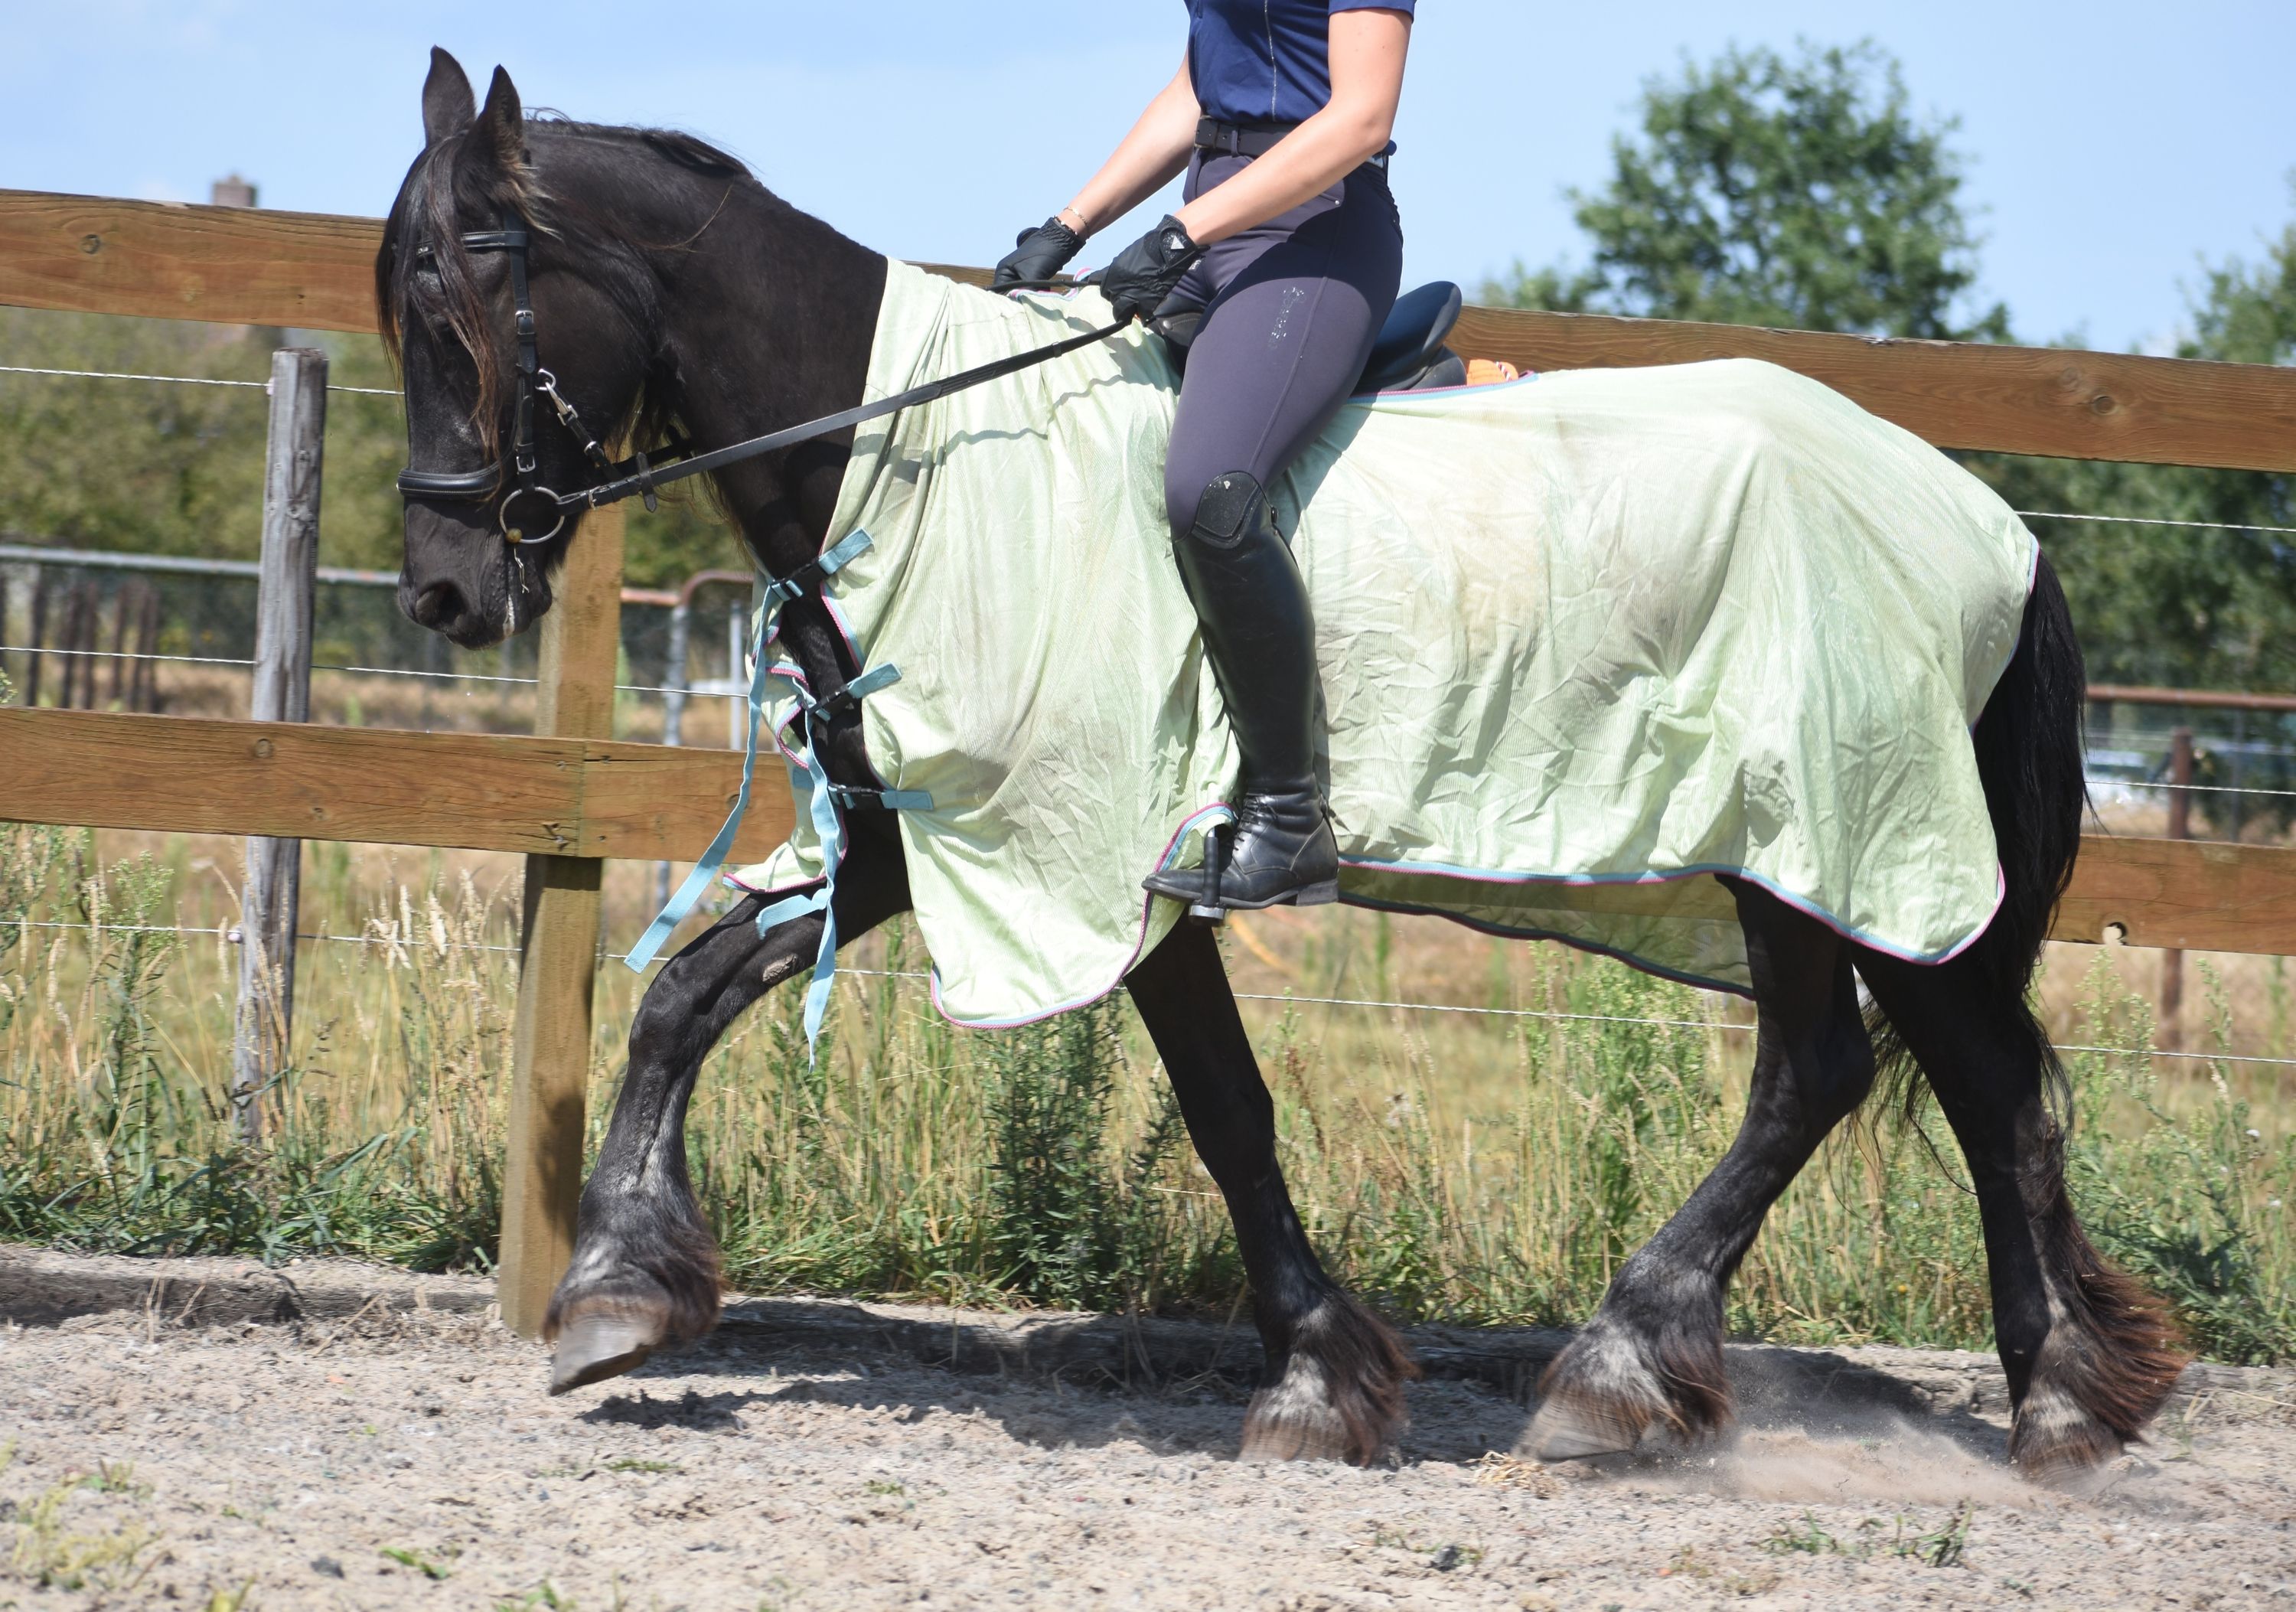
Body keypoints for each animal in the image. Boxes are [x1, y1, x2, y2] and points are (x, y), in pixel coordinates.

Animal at [380, 48, 2186, 1479]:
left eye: (455, 317)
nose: (444, 594)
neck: (921, 458)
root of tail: (1979, 510)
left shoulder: (1099, 856)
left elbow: (1224, 1107)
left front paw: (1317, 1380)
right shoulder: (920, 833)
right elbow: (689, 994)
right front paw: (618, 1289)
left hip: (1832, 832)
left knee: (1847, 1073)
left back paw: (1633, 1371)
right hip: (1825, 852)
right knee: (1954, 1080)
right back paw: (2052, 1402)